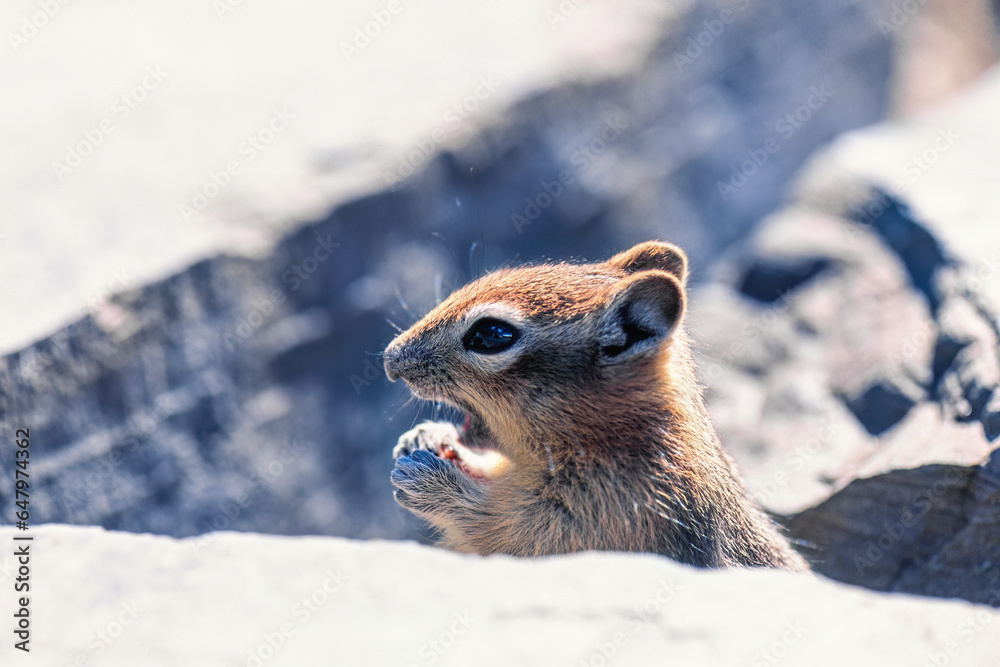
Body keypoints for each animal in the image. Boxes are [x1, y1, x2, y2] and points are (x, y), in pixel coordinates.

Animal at [382, 243, 804, 572]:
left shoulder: (611, 517)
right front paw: (426, 436)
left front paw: (430, 482)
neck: (611, 438)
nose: (390, 359)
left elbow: (507, 532)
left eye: (491, 334)